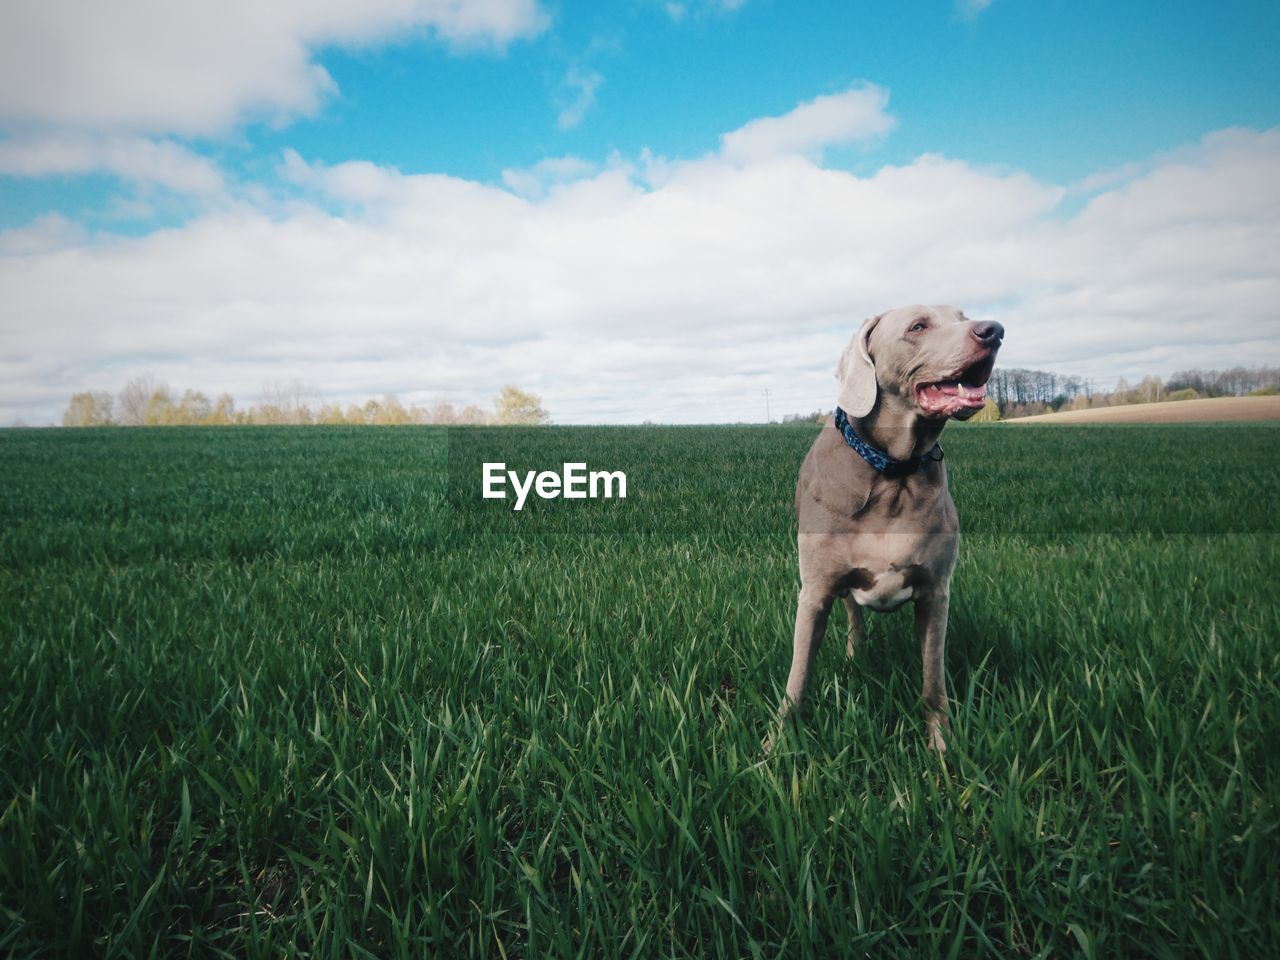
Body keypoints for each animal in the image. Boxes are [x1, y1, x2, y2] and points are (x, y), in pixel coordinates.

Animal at [768, 304, 998, 757]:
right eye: (918, 326)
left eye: (962, 315)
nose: (994, 331)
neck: (893, 474)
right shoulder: (815, 591)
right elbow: (798, 676)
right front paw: (778, 744)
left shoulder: (935, 593)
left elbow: (932, 677)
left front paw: (940, 744)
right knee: (855, 617)